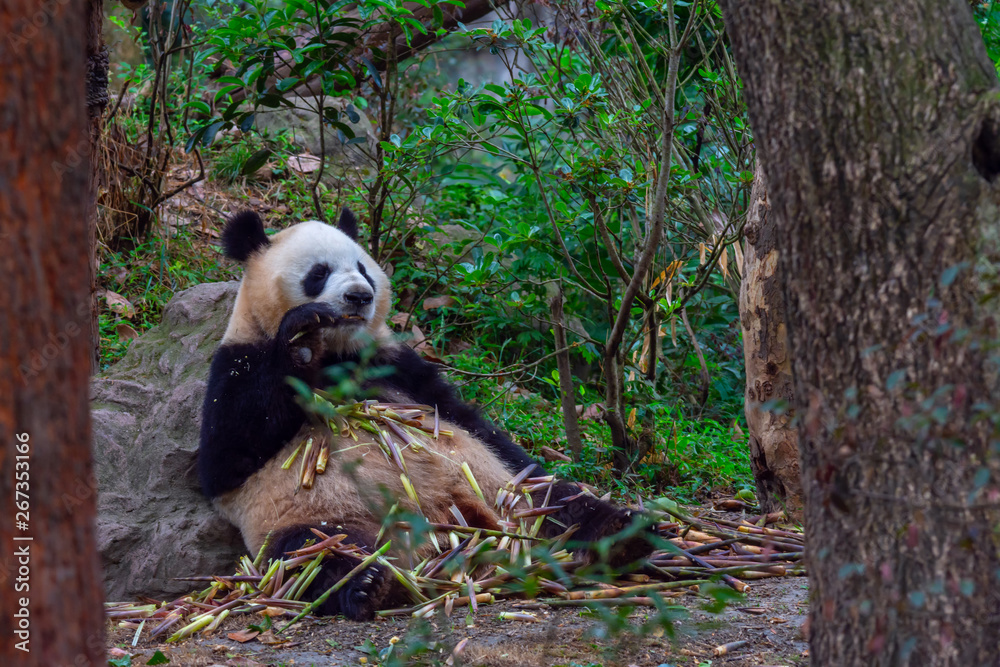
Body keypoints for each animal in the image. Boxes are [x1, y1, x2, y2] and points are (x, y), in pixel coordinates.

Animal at [198, 209, 652, 620]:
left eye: (362, 268)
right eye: (318, 272)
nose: (360, 296)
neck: (338, 353)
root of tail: (454, 538)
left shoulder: (395, 364)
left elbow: (467, 420)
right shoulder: (236, 360)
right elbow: (228, 456)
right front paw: (301, 335)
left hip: (503, 491)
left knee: (555, 500)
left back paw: (623, 534)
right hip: (313, 515)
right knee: (317, 551)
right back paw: (367, 584)